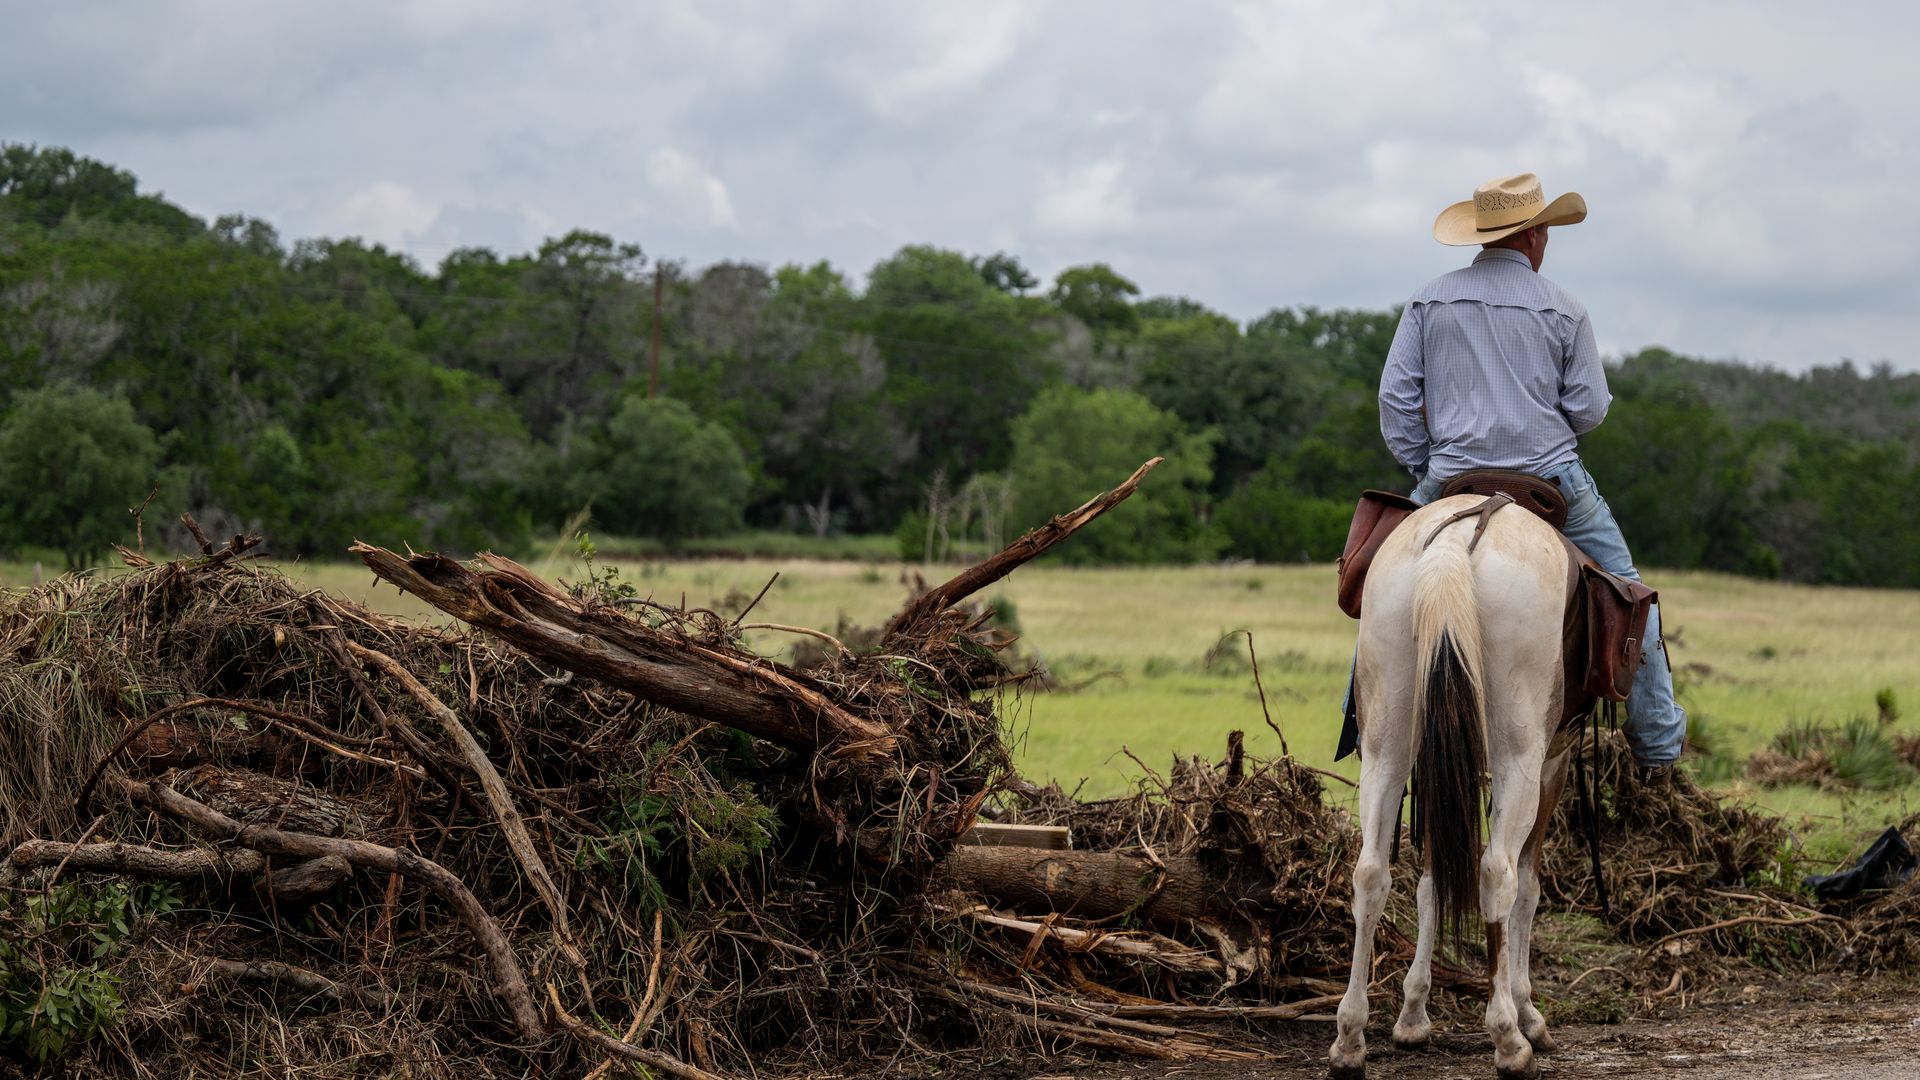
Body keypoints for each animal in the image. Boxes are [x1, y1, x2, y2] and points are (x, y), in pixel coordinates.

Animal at [1327, 493, 1581, 1080]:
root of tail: (1450, 543)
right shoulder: (1551, 765)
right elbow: (1528, 887)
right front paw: (1529, 1013)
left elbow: (1430, 881)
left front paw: (1412, 1016)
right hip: (1518, 757)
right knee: (1498, 873)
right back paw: (1509, 1039)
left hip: (1388, 744)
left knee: (1370, 873)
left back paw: (1349, 1039)